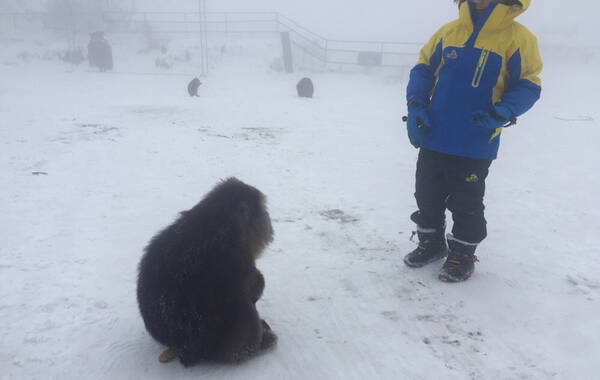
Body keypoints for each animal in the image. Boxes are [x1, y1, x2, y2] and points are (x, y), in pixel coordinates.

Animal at [137, 177, 276, 366]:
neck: (221, 222)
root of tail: (183, 350)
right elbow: (254, 287)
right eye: (262, 211)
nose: (268, 219)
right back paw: (260, 344)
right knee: (243, 308)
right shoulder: (238, 256)